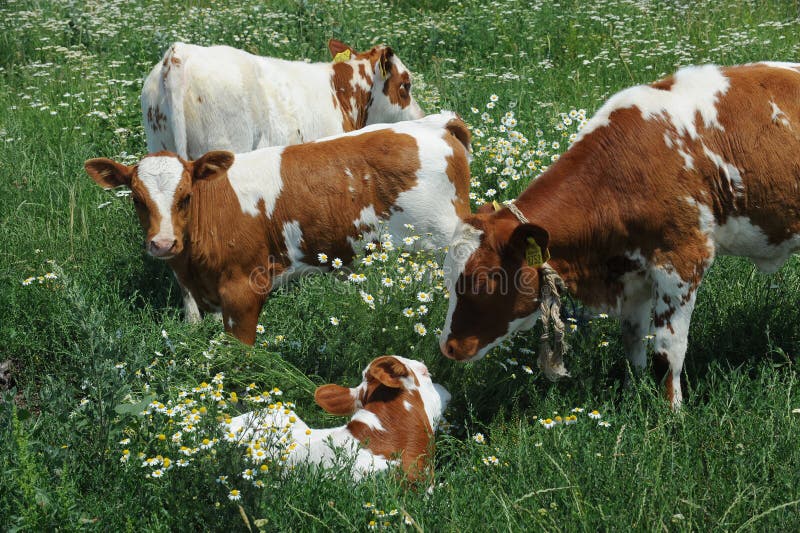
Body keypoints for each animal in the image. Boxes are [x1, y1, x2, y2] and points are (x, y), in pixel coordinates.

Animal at [85, 112, 472, 344]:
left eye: (186, 196)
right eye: (136, 199)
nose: (163, 244)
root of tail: (435, 124)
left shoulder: (243, 290)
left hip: (436, 253)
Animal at [440, 62, 800, 408]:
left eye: (484, 281)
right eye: (448, 278)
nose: (447, 347)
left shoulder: (682, 261)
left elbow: (668, 349)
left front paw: (671, 413)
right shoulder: (631, 271)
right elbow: (632, 339)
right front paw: (632, 394)